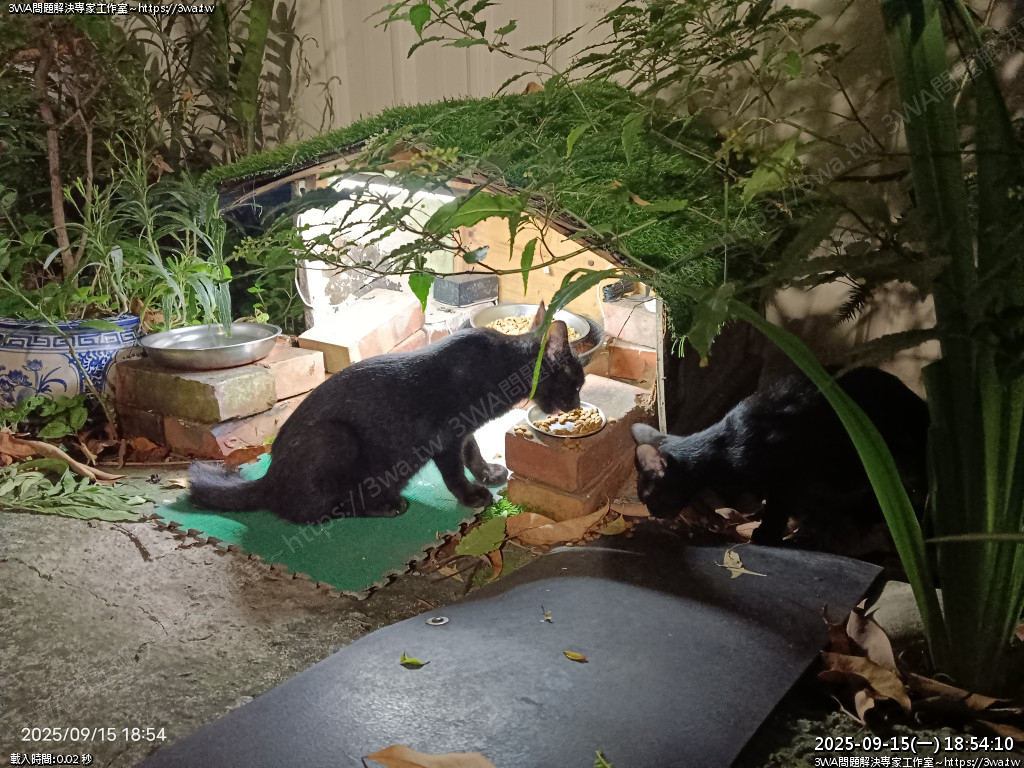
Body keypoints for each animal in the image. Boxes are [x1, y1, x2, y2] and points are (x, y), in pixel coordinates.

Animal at [188, 303, 585, 524]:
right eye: (577, 383)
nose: (578, 406)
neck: (498, 364)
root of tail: (268, 479)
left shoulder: (464, 431)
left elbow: (472, 451)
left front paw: (487, 473)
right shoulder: (444, 437)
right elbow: (454, 470)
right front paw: (471, 495)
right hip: (334, 438)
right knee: (315, 511)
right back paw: (385, 505)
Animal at [632, 367, 930, 548]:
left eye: (649, 496)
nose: (652, 513)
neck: (721, 453)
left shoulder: (786, 474)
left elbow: (777, 507)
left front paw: (767, 533)